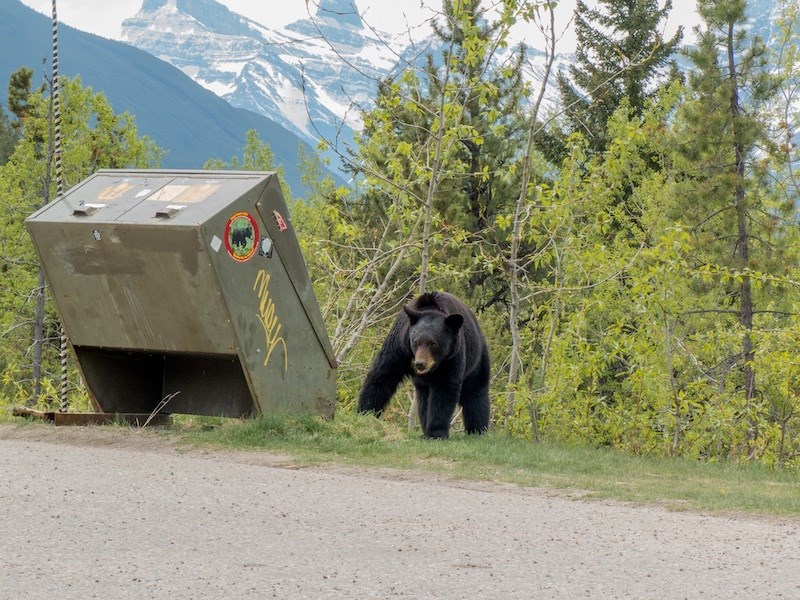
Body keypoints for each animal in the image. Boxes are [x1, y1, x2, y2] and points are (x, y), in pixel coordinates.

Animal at [358, 292, 494, 438]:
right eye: (416, 341)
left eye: (433, 344)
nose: (420, 364)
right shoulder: (400, 346)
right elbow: (384, 374)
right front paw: (365, 412)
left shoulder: (452, 358)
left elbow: (444, 389)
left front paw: (436, 432)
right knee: (424, 398)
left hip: (477, 359)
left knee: (475, 391)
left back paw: (477, 429)